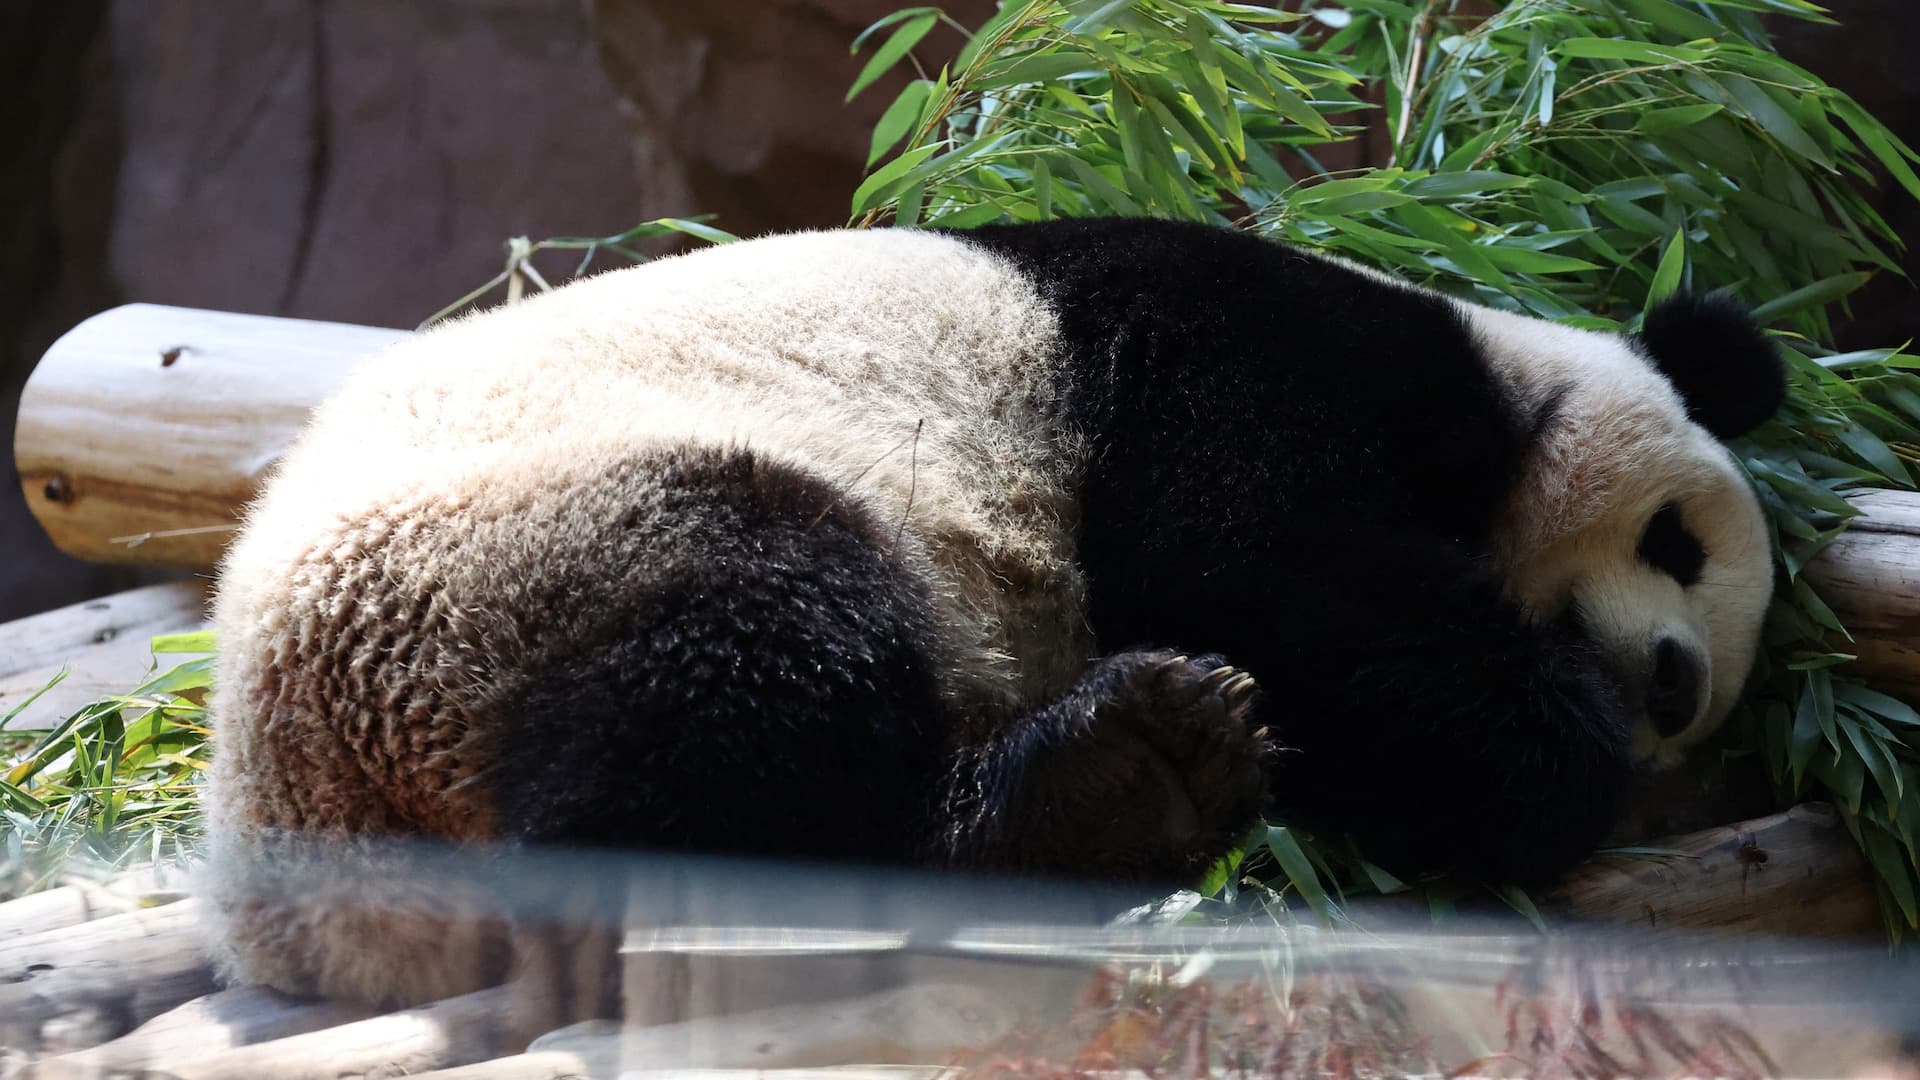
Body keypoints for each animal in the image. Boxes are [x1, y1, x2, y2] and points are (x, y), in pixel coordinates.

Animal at [202, 216, 1782, 1009]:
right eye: (1678, 542)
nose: (1673, 685)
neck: (1509, 380)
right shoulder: (1244, 353)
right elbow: (1253, 560)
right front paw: (1554, 755)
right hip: (538, 546)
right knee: (746, 669)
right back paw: (1099, 788)